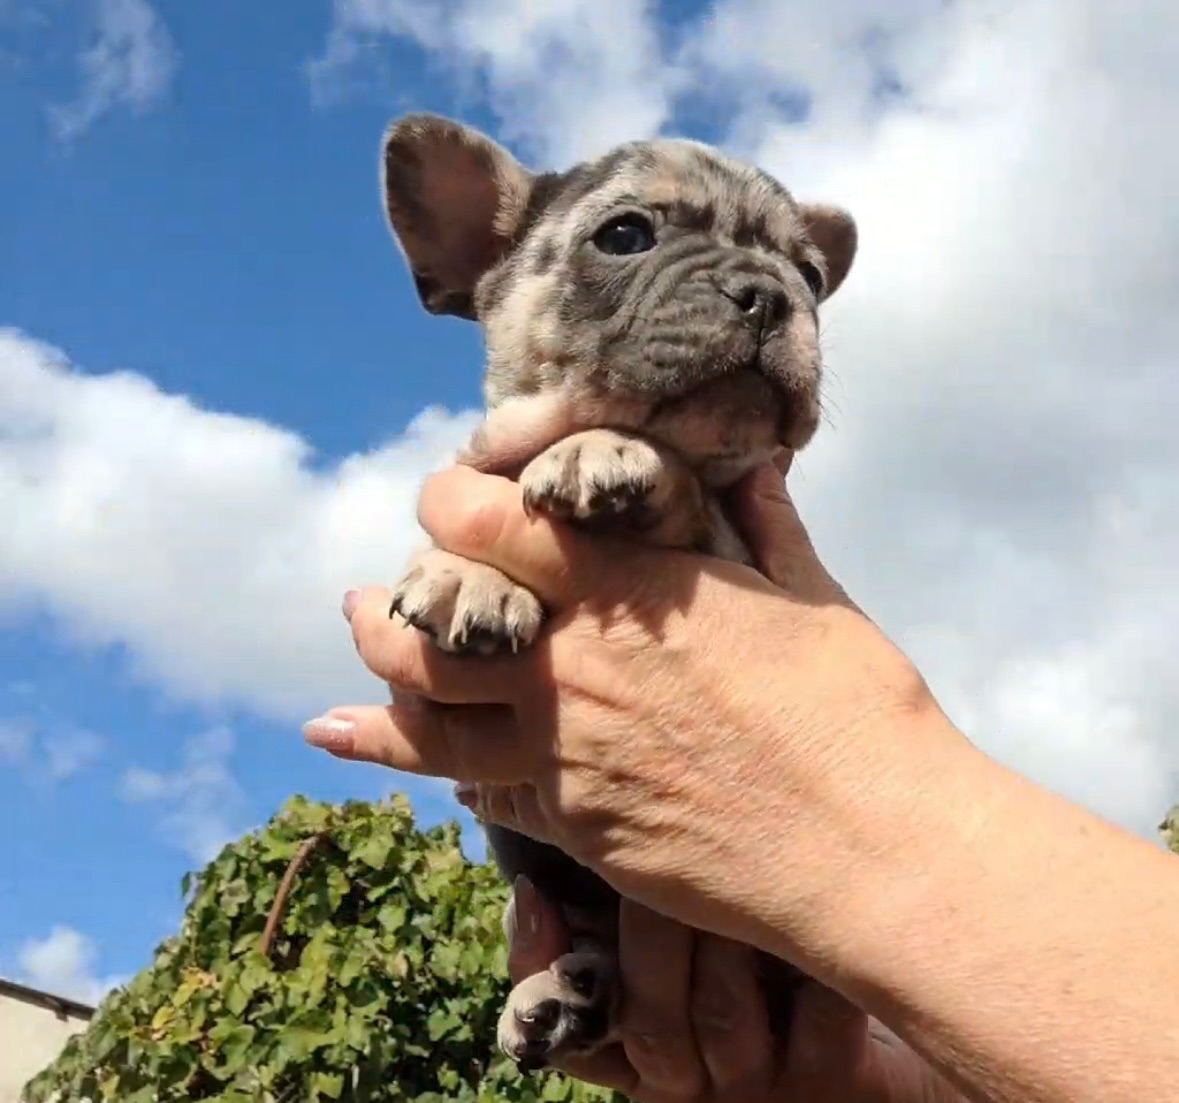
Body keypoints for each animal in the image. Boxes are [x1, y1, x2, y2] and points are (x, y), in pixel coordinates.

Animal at [377, 116, 858, 1074]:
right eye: (626, 234)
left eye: (813, 276)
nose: (768, 293)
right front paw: (466, 571)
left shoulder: (738, 546)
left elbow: (678, 477)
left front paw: (602, 451)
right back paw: (563, 993)